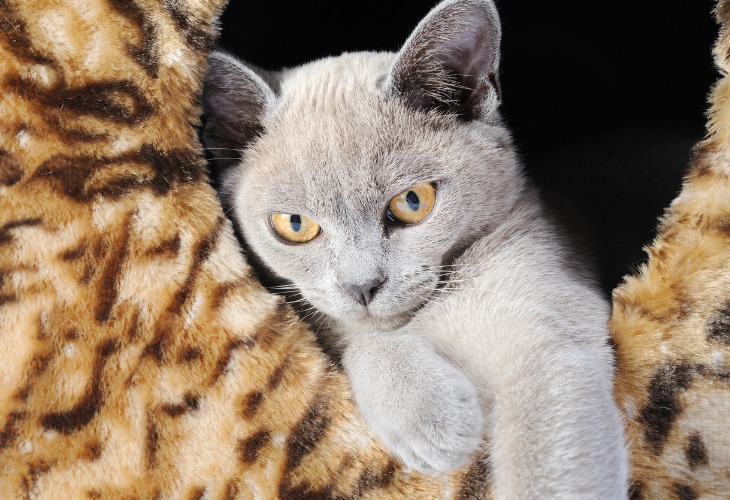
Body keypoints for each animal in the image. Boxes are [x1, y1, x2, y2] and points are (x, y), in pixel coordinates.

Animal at [199, 0, 624, 496]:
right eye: (295, 225)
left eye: (413, 202)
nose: (362, 285)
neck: (425, 323)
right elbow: (363, 345)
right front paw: (435, 423)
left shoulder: (548, 342)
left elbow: (550, 472)